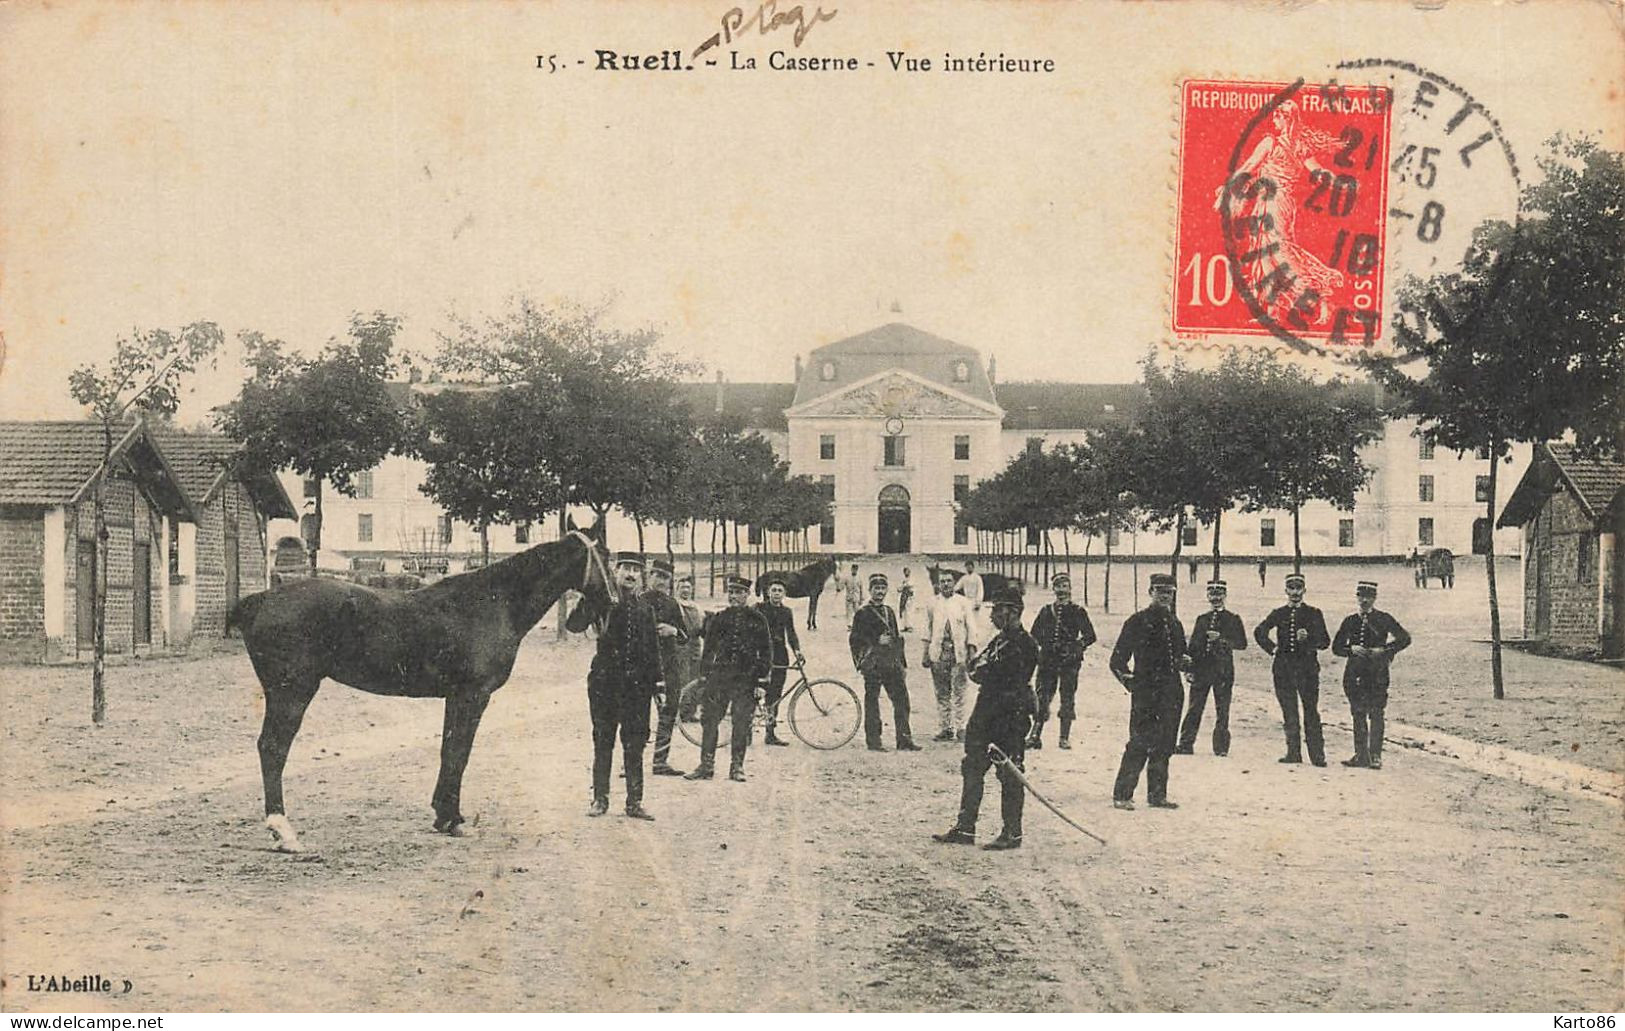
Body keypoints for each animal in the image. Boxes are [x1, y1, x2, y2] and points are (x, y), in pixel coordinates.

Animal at [225, 526, 611, 845]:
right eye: (606, 555)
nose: (613, 599)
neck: (492, 601)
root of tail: (260, 600)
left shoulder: (455, 697)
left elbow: (449, 750)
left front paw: (443, 817)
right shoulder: (472, 696)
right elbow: (459, 754)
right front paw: (454, 820)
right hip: (292, 693)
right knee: (273, 748)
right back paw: (283, 830)